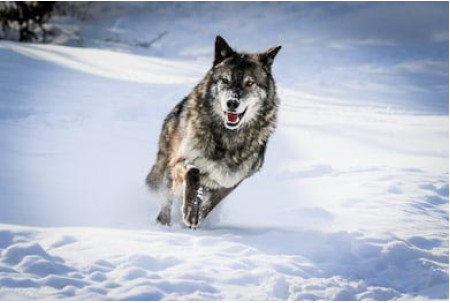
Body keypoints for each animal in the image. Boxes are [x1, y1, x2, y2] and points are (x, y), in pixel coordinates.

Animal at [147, 35, 282, 229]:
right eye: (225, 80)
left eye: (249, 83)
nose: (232, 103)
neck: (228, 139)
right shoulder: (180, 161)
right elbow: (193, 172)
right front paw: (190, 212)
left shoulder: (231, 180)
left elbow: (212, 202)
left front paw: (198, 215)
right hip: (166, 167)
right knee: (167, 197)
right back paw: (162, 223)